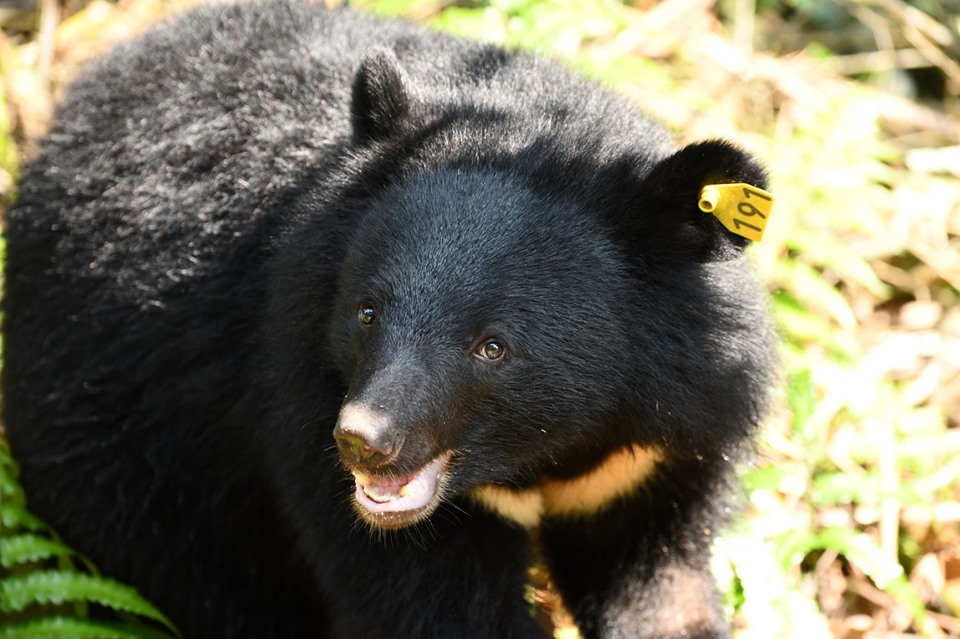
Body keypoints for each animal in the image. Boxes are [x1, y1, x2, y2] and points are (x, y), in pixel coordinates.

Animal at [2, 1, 777, 638]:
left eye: (494, 347)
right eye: (368, 311)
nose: (363, 442)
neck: (549, 450)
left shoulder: (658, 450)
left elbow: (662, 589)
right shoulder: (298, 394)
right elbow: (427, 606)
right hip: (126, 446)